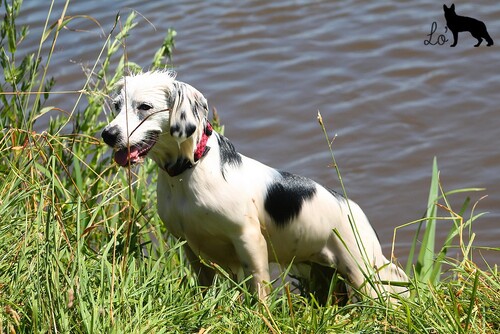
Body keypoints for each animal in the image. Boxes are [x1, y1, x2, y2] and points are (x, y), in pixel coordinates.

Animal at [101, 70, 410, 300]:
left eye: (145, 107)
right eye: (116, 106)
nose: (108, 134)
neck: (188, 173)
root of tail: (352, 207)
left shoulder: (248, 239)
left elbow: (259, 291)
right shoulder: (189, 245)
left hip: (364, 272)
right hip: (323, 275)